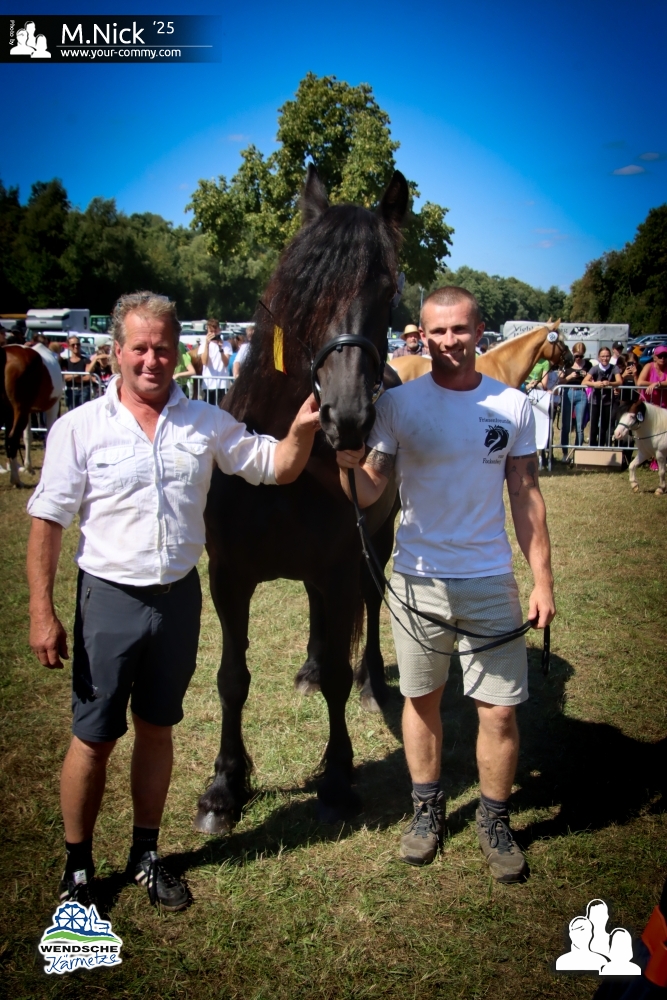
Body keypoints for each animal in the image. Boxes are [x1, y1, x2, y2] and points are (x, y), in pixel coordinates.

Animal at [0, 344, 62, 487]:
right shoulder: (53, 406)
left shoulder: (27, 411)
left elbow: (27, 436)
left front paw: (28, 468)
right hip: (19, 411)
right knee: (12, 439)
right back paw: (16, 480)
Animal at [195, 166, 409, 835]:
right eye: (307, 287)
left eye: (389, 290)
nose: (349, 419)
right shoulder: (229, 578)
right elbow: (231, 678)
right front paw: (224, 787)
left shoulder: (339, 569)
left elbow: (341, 673)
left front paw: (338, 780)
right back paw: (309, 669)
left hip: (375, 542)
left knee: (368, 614)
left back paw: (372, 683)